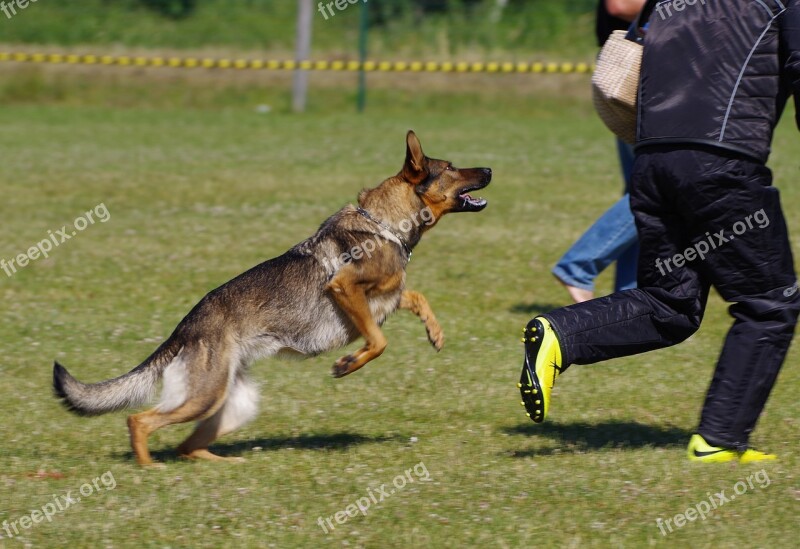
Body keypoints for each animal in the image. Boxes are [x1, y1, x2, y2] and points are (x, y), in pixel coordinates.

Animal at [53, 132, 490, 462]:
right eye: (451, 167)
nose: (489, 169)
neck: (385, 223)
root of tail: (184, 328)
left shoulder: (385, 296)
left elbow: (415, 297)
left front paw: (435, 333)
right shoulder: (344, 288)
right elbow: (378, 341)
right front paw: (347, 364)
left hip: (231, 404)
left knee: (187, 447)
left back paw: (225, 465)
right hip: (204, 395)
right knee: (140, 421)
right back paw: (149, 469)